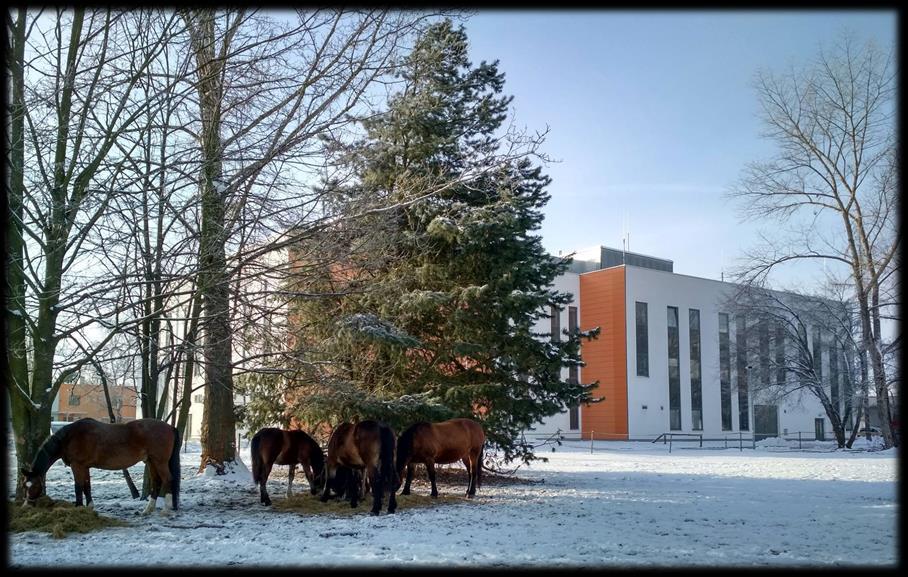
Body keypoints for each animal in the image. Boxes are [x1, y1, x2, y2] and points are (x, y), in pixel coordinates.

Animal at [20, 416, 181, 516]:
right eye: (24, 486)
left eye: (35, 486)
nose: (26, 506)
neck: (70, 437)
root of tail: (170, 427)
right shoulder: (84, 467)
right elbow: (87, 486)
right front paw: (89, 507)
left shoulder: (77, 466)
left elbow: (78, 487)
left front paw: (78, 507)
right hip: (151, 462)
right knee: (157, 482)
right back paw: (148, 510)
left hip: (160, 462)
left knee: (168, 479)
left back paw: (166, 510)